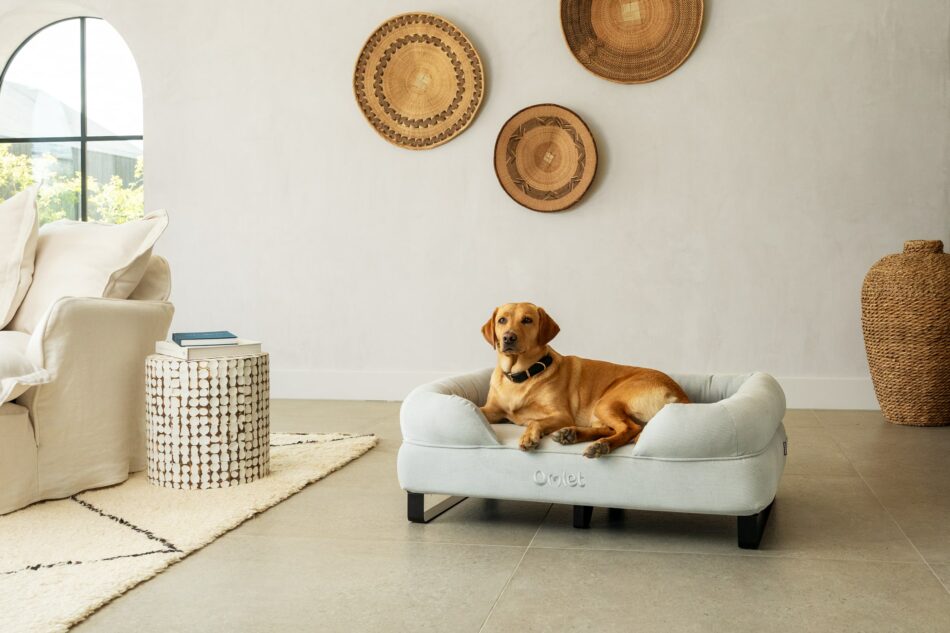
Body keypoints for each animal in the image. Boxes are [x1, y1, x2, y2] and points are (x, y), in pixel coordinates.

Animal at [480, 304, 688, 456]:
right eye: (502, 320)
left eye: (527, 320)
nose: (508, 337)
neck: (522, 375)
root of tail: (681, 396)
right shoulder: (492, 410)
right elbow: (479, 409)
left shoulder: (561, 415)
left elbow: (535, 422)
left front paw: (528, 436)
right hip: (599, 414)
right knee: (616, 429)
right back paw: (572, 435)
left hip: (605, 402)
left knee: (631, 428)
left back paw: (601, 445)